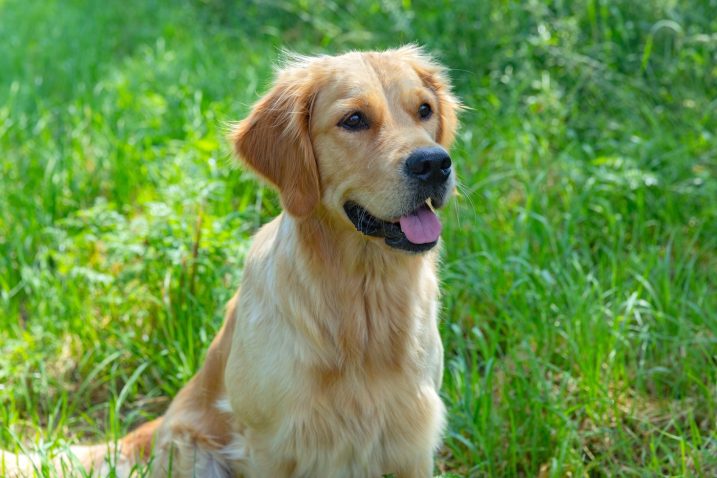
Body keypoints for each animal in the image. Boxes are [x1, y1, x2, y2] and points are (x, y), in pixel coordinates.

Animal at [1, 45, 458, 478]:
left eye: (424, 110)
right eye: (354, 119)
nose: (434, 163)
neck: (362, 299)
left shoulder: (413, 441)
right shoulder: (271, 444)